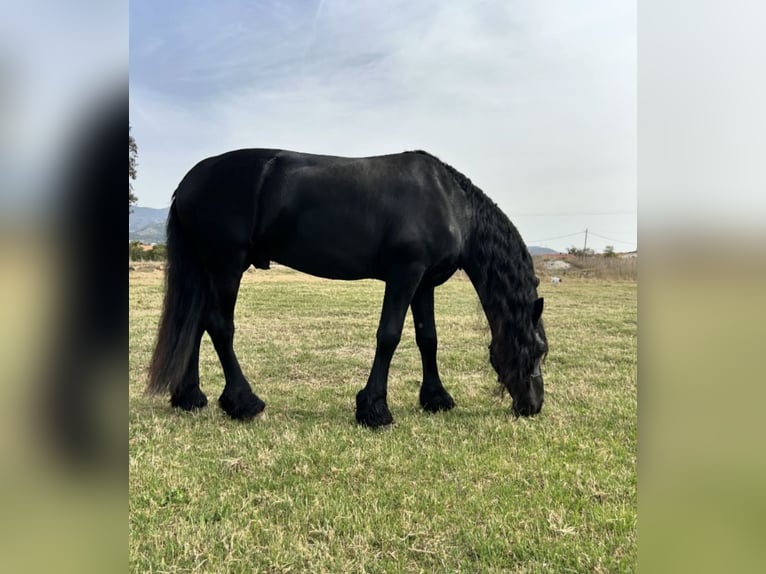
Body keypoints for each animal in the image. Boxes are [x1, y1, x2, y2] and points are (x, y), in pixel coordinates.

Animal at [147, 148, 548, 428]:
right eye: (540, 349)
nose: (534, 405)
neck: (451, 203)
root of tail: (188, 183)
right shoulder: (405, 274)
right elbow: (389, 336)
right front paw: (374, 409)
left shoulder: (423, 283)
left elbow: (427, 338)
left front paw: (436, 399)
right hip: (227, 265)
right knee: (219, 326)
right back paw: (244, 403)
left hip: (208, 268)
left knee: (194, 324)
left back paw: (190, 396)